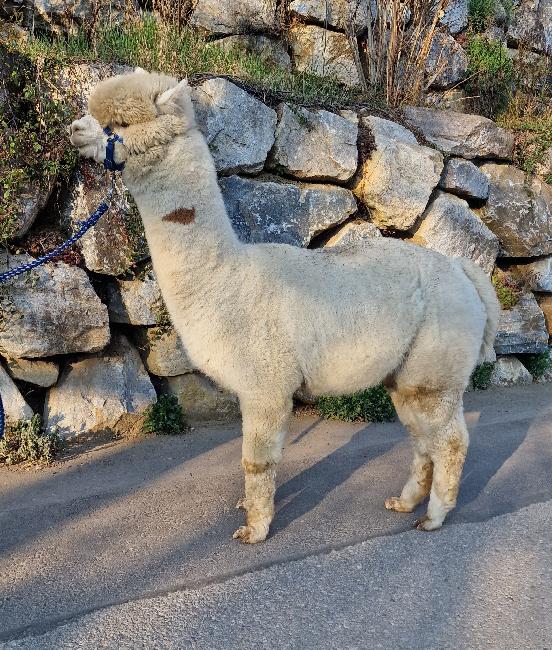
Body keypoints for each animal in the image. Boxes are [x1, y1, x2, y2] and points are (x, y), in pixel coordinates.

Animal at [70, 70, 499, 544]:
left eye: (122, 125)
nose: (73, 129)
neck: (227, 282)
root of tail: (464, 271)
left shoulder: (266, 385)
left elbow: (255, 461)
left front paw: (254, 529)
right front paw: (250, 510)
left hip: (435, 369)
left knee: (451, 442)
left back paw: (435, 516)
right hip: (407, 375)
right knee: (424, 440)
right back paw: (405, 503)